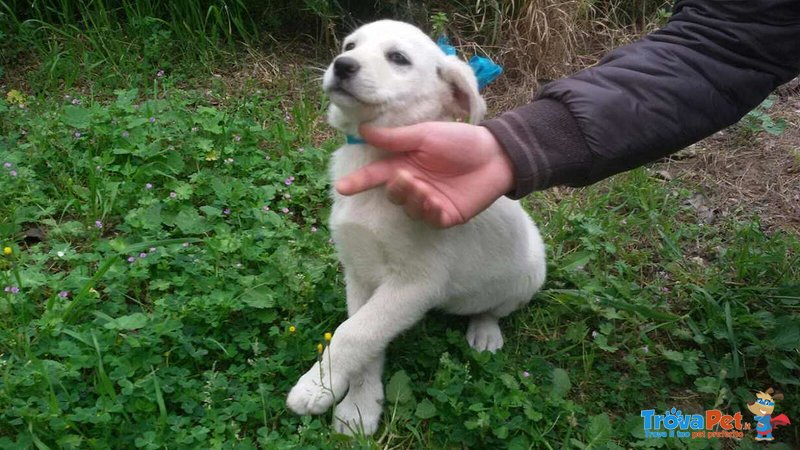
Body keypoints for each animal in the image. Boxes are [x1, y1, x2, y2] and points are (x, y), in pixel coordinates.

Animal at [284, 20, 548, 436]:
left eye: (398, 58)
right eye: (349, 46)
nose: (341, 65)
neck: (373, 158)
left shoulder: (416, 283)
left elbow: (353, 332)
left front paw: (316, 387)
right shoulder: (360, 273)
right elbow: (366, 336)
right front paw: (358, 405)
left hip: (529, 275)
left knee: (494, 308)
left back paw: (485, 332)